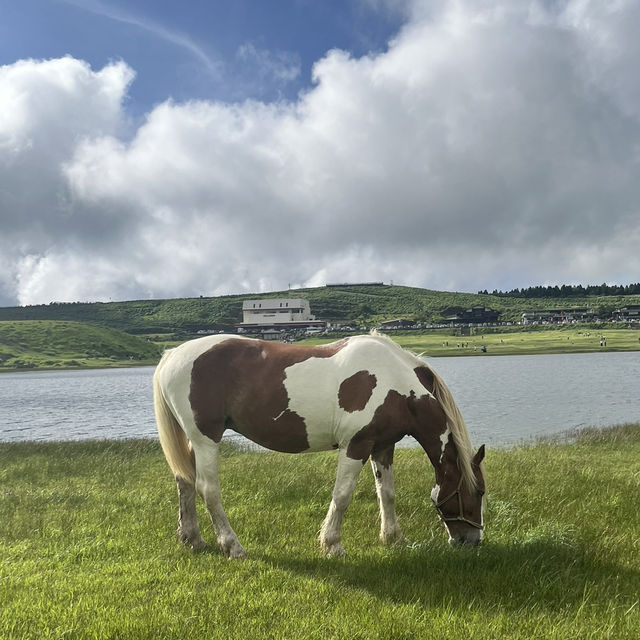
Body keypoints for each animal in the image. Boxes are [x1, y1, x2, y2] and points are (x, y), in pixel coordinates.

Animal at [154, 332, 484, 556]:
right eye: (478, 492)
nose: (472, 540)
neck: (397, 380)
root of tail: (172, 355)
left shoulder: (382, 447)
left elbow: (387, 494)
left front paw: (394, 538)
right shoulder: (356, 445)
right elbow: (342, 495)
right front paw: (332, 544)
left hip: (192, 441)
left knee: (184, 482)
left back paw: (193, 539)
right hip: (206, 438)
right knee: (208, 490)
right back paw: (233, 546)